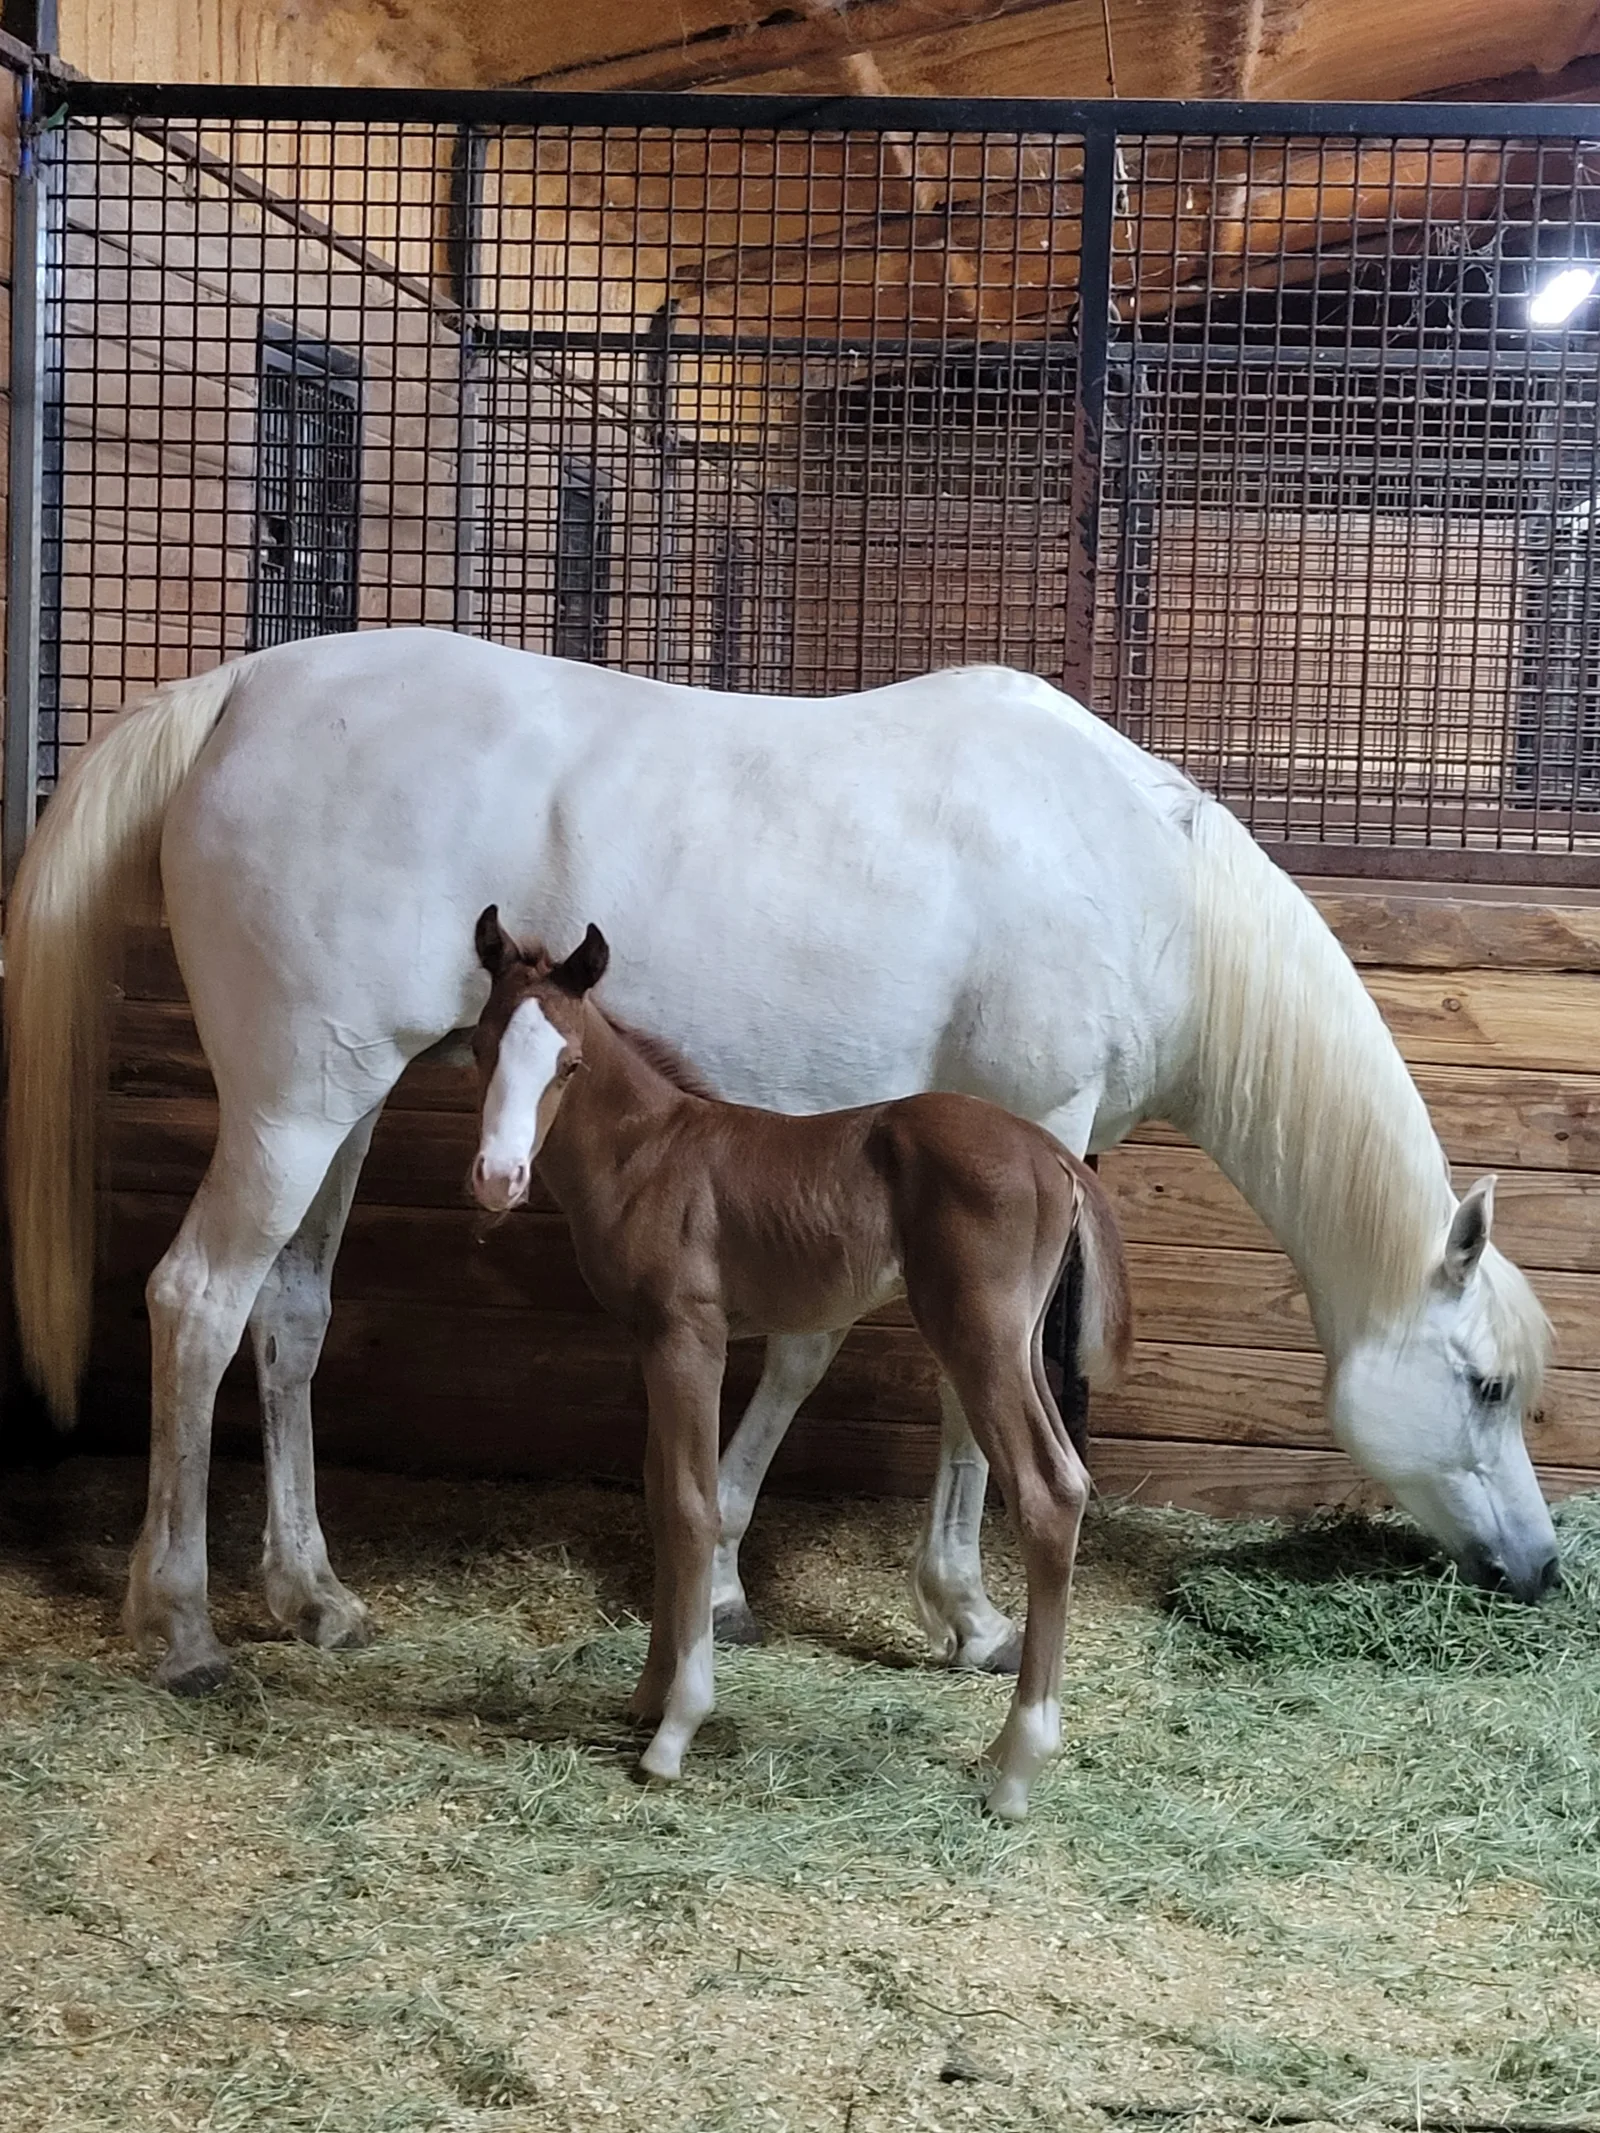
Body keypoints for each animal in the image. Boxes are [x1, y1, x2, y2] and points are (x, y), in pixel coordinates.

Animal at [4, 628, 1557, 1694]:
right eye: (1484, 1385)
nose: (1541, 1571)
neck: (1143, 873)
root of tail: (236, 693)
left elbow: (806, 1355)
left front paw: (729, 1581)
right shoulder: (1029, 1140)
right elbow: (971, 1391)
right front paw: (972, 1615)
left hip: (350, 1100)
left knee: (292, 1319)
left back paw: (313, 1594)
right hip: (291, 1104)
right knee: (198, 1303)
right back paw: (184, 1624)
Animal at [468, 907, 1131, 1817]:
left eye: (568, 1063)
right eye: (478, 1046)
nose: (497, 1178)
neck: (653, 1153)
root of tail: (1052, 1153)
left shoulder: (691, 1334)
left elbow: (692, 1504)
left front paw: (677, 1727)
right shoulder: (650, 1339)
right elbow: (660, 1495)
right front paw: (646, 1693)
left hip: (980, 1333)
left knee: (1046, 1492)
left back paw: (1017, 1768)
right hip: (1020, 1339)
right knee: (1067, 1476)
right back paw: (1005, 1748)